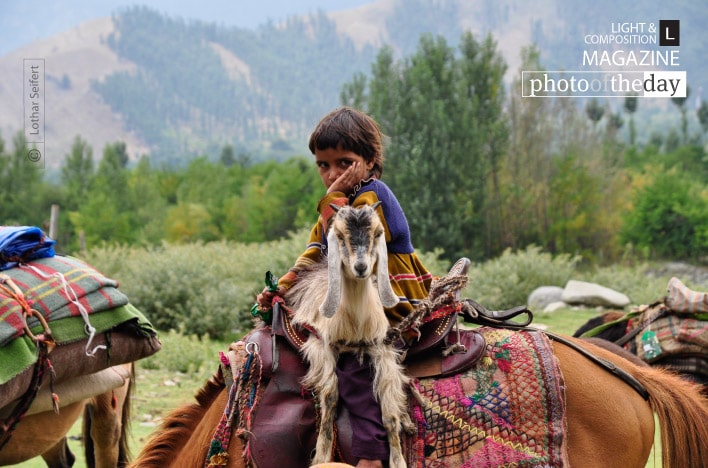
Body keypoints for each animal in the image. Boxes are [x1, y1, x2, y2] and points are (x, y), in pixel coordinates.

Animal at [286, 203, 412, 468]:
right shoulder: (322, 345)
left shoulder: (382, 348)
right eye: (340, 236)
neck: (354, 320)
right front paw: (322, 456)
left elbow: (389, 413)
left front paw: (398, 460)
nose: (361, 267)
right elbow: (330, 399)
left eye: (377, 234)